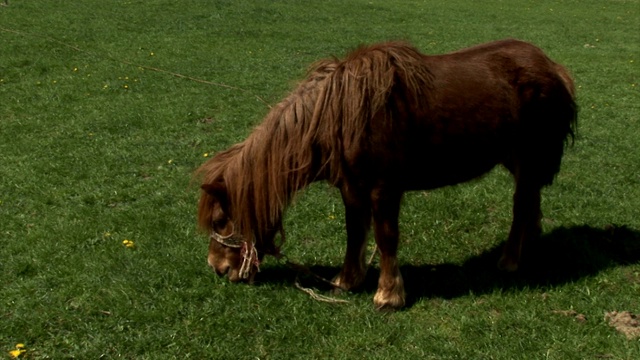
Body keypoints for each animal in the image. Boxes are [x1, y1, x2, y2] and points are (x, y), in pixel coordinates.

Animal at [195, 38, 576, 310]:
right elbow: (354, 233)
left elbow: (386, 236)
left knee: (521, 205)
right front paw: (347, 280)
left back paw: (510, 260)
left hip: (528, 157)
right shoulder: (351, 188)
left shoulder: (384, 188)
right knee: (531, 200)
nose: (217, 268)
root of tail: (552, 66)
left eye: (219, 221)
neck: (339, 114)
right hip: (516, 159)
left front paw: (389, 295)